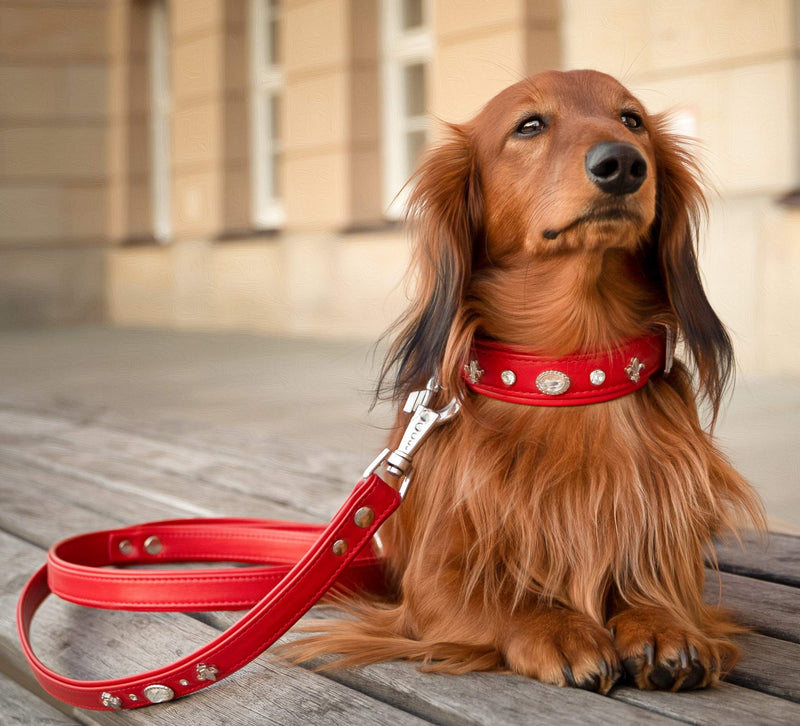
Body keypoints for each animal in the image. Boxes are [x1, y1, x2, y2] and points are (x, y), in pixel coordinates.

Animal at [290, 71, 764, 696]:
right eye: (529, 125)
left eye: (632, 120)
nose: (622, 163)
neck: (570, 377)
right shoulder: (431, 580)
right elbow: (499, 595)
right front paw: (556, 626)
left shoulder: (664, 546)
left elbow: (655, 583)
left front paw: (661, 622)